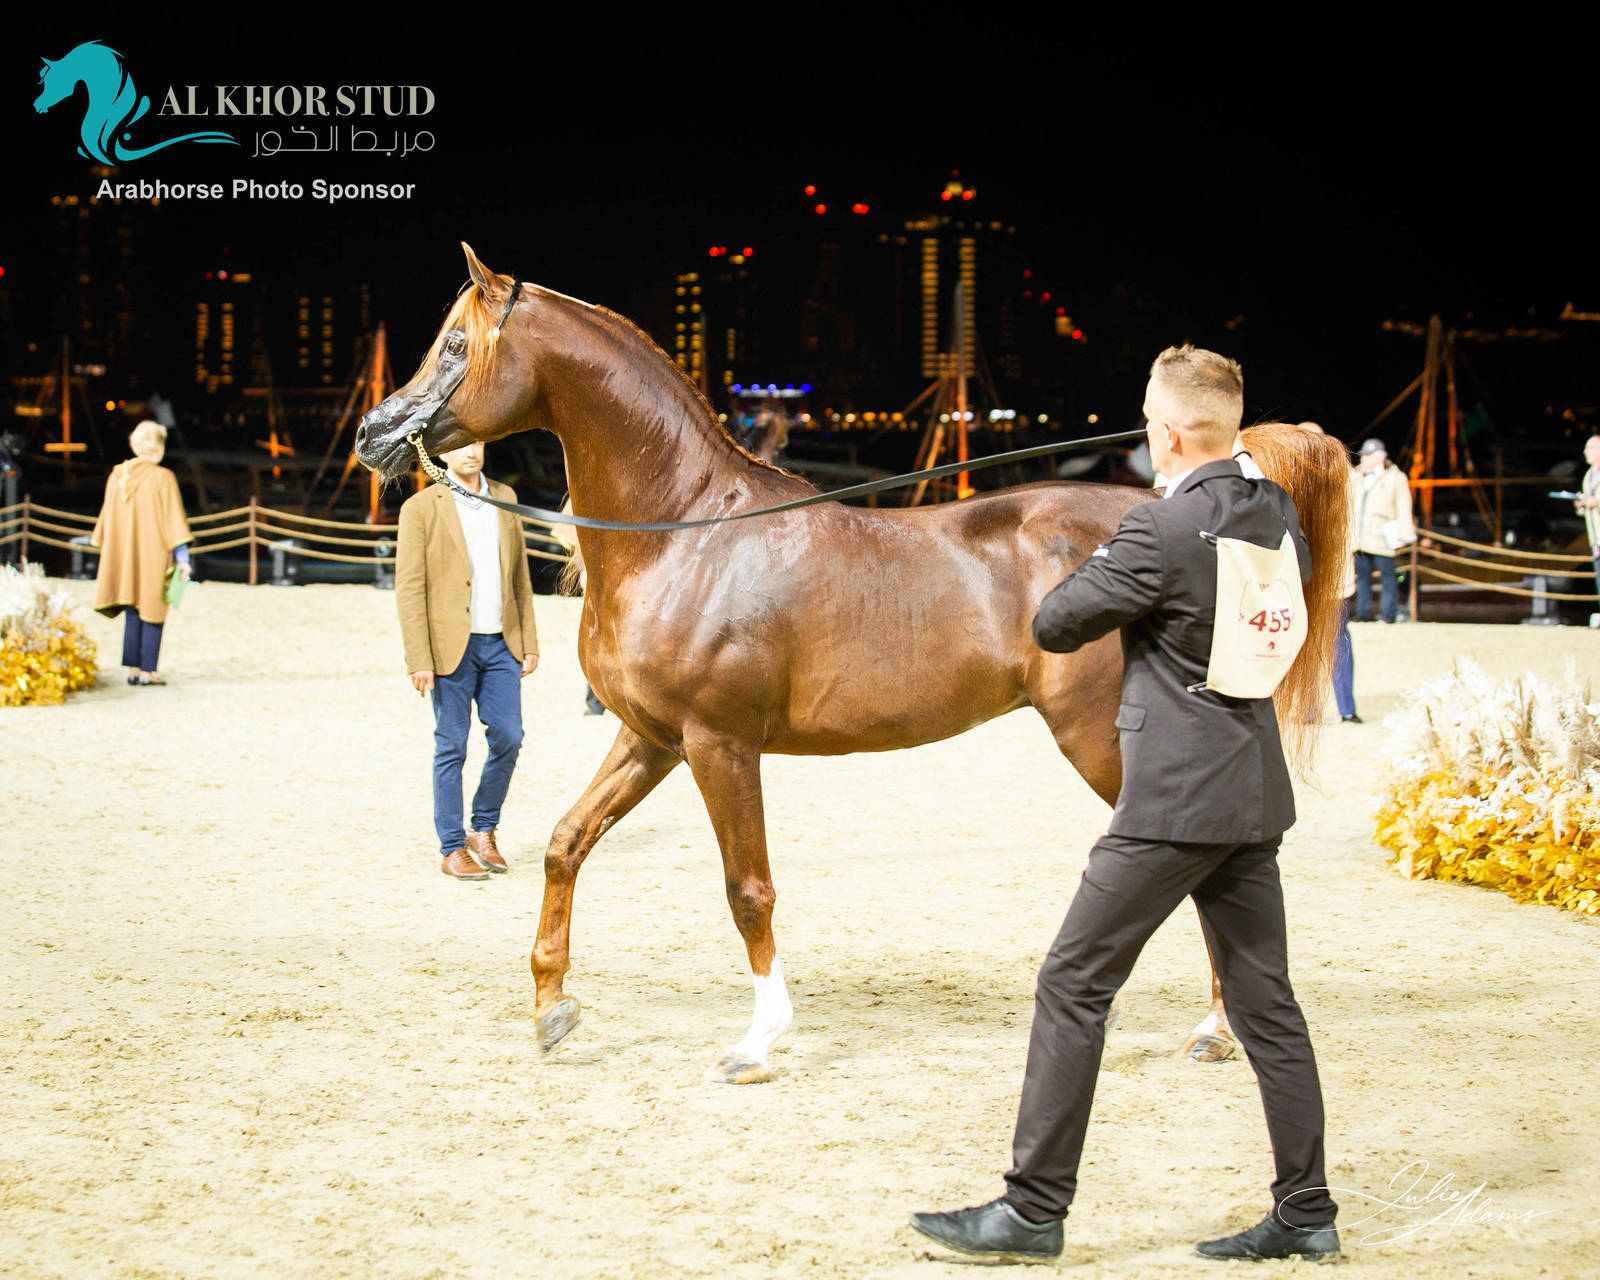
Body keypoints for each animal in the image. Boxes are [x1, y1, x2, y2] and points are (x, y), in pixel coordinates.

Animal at [355, 245, 1350, 1084]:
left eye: (455, 344)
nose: (374, 433)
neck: (684, 530)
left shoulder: (720, 744)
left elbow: (747, 888)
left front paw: (759, 1042)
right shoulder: (654, 740)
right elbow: (568, 841)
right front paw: (552, 1007)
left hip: (1105, 741)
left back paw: (1218, 1029)